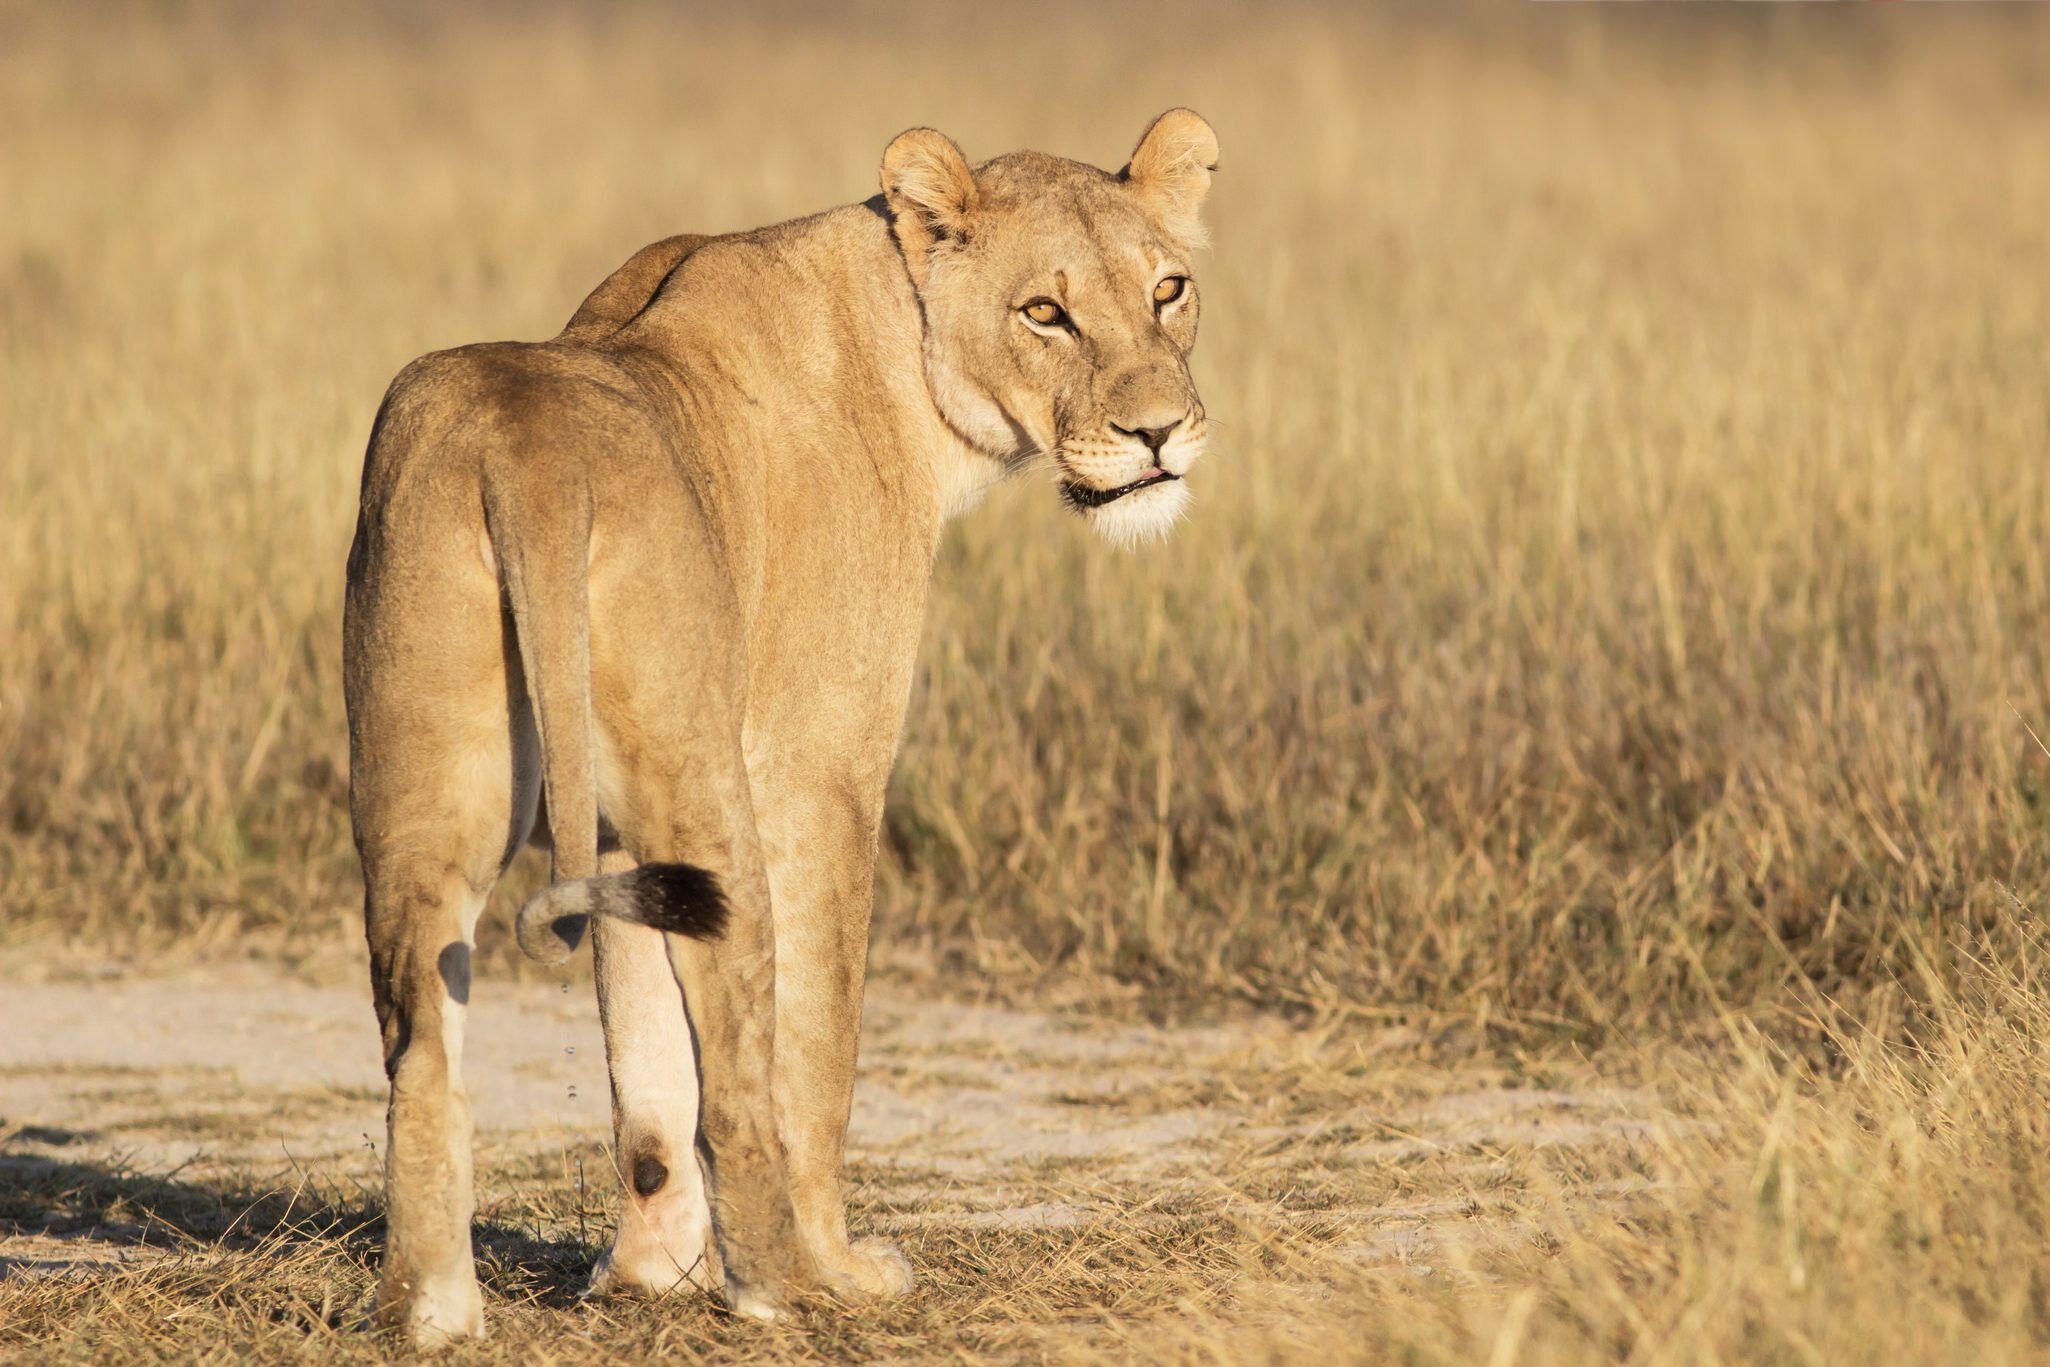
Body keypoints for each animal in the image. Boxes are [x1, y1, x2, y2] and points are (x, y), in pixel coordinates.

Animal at [342, 108, 1218, 1343]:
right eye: (1045, 312)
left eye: (1168, 289)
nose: (1159, 434)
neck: (901, 334)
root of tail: (528, 452)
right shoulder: (823, 775)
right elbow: (816, 1048)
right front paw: (831, 1266)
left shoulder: (616, 821)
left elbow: (645, 1061)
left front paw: (649, 1279)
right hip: (712, 801)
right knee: (745, 1075)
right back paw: (781, 1288)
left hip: (422, 778)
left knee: (423, 1042)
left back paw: (433, 1313)